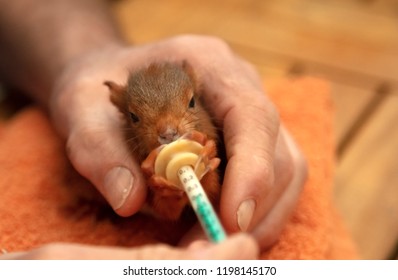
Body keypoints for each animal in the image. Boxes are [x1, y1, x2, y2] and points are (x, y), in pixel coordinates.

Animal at [102, 61, 221, 221]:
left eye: (192, 102)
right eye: (133, 116)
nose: (168, 133)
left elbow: (211, 189)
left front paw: (207, 153)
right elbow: (166, 209)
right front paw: (163, 187)